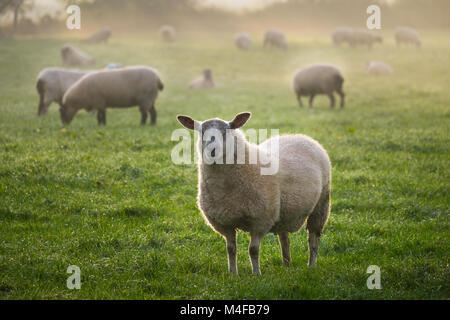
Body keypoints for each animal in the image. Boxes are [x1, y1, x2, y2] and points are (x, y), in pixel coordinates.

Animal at [176, 112, 330, 276]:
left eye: (227, 130)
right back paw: (286, 264)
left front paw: (256, 274)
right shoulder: (224, 223)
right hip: (283, 212)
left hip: (321, 204)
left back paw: (311, 265)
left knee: (313, 239)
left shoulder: (260, 220)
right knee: (284, 239)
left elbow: (253, 250)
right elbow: (231, 249)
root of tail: (300, 136)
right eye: (201, 131)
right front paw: (232, 274)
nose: (212, 151)